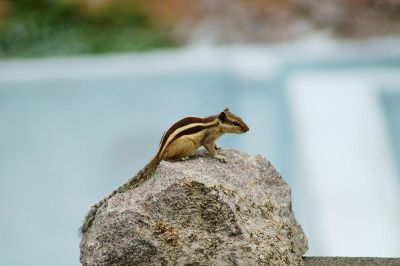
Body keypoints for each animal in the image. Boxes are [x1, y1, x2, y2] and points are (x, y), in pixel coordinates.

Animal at [79, 108, 248, 235]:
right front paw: (219, 156)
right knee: (170, 158)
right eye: (235, 123)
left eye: (240, 118)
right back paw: (183, 158)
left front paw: (219, 149)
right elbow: (210, 149)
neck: (215, 123)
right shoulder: (207, 139)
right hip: (188, 144)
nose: (248, 129)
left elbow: (214, 146)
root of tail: (160, 152)